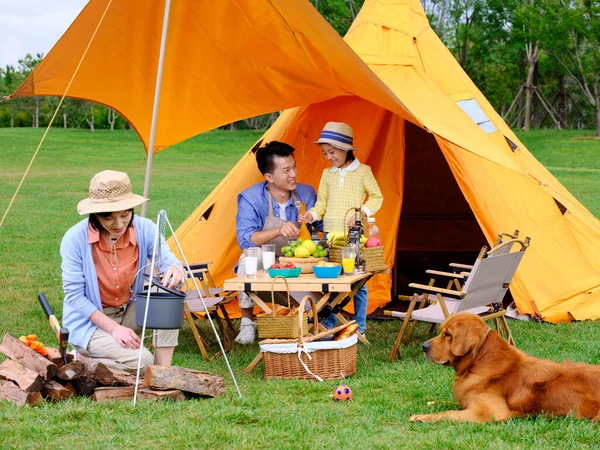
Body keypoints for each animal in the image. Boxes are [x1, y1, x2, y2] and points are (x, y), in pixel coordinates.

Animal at [410, 312, 600, 424]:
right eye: (441, 332)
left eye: (448, 335)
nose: (423, 346)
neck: (479, 362)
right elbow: (451, 403)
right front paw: (430, 403)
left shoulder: (491, 412)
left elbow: (448, 413)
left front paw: (421, 417)